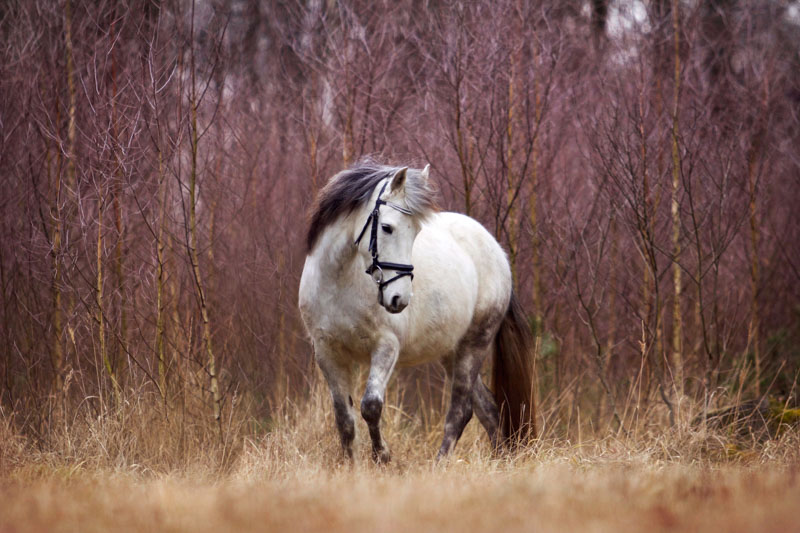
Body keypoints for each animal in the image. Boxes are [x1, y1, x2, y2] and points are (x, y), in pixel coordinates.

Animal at [298, 161, 536, 462]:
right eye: (386, 227)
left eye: (415, 232)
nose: (399, 298)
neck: (340, 282)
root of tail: (498, 253)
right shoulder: (328, 353)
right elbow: (345, 420)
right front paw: (352, 466)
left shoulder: (386, 346)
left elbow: (370, 406)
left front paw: (382, 456)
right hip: (452, 352)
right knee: (488, 410)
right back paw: (498, 460)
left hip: (474, 346)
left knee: (461, 412)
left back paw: (440, 464)